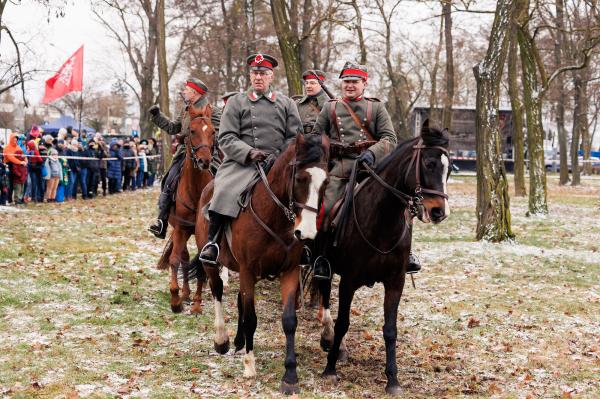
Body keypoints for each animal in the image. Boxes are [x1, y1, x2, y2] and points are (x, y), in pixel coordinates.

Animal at [157, 104, 218, 316]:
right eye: (192, 131)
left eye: (213, 132)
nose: (204, 161)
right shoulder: (181, 229)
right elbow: (175, 260)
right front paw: (176, 300)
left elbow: (201, 265)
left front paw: (197, 304)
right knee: (182, 258)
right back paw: (184, 293)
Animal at [195, 134, 330, 394]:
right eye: (300, 178)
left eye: (326, 183)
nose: (307, 233)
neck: (275, 217)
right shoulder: (248, 271)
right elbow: (251, 318)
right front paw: (249, 365)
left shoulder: (289, 271)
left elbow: (289, 321)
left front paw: (290, 375)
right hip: (212, 263)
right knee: (217, 292)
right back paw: (222, 340)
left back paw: (238, 341)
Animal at [318, 122, 450, 396]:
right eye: (429, 163)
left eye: (449, 168)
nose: (438, 212)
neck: (382, 220)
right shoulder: (348, 281)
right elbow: (343, 322)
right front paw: (330, 368)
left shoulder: (395, 282)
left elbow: (390, 330)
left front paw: (393, 380)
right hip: (324, 266)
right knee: (324, 297)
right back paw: (329, 339)